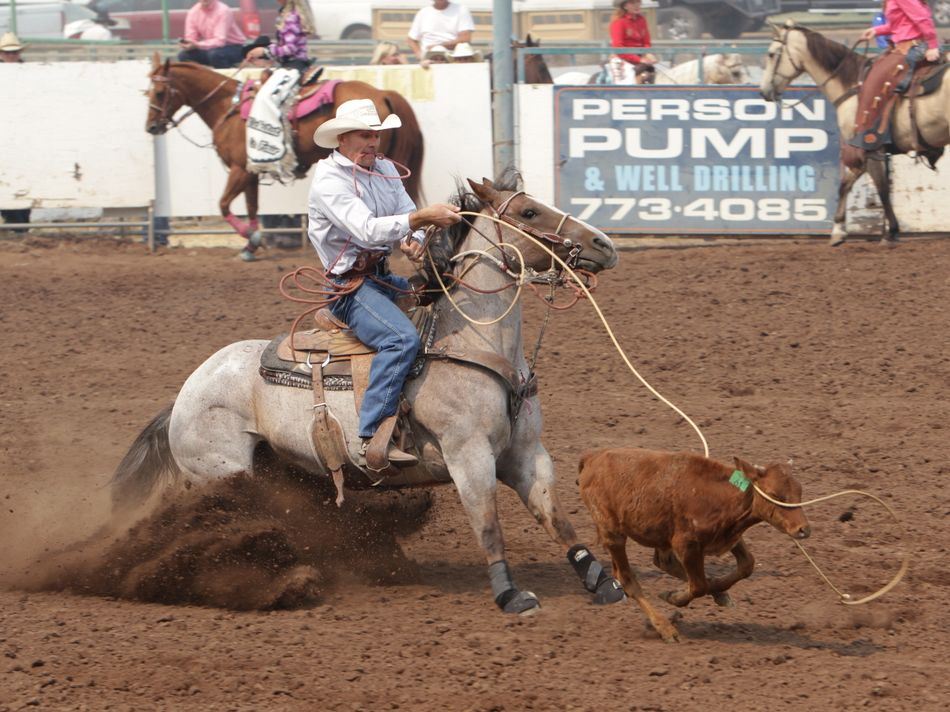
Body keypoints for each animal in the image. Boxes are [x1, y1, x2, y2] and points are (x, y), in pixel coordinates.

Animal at [578, 448, 811, 642]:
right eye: (775, 495)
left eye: (799, 491)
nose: (804, 529)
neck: (722, 497)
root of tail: (591, 458)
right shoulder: (686, 545)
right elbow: (699, 586)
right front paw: (673, 597)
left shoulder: (728, 536)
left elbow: (746, 565)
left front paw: (718, 591)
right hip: (613, 533)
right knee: (627, 579)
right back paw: (665, 628)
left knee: (661, 564)